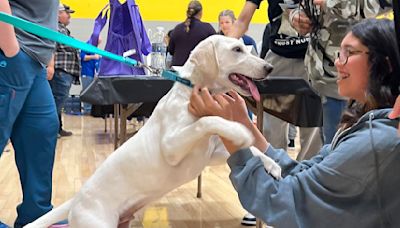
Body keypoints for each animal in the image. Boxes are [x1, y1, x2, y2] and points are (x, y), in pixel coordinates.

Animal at [25, 35, 282, 228]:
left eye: (246, 47)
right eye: (237, 50)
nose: (269, 67)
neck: (192, 91)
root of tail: (77, 199)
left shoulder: (212, 154)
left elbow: (252, 150)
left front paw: (273, 164)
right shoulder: (172, 146)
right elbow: (208, 121)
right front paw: (240, 131)